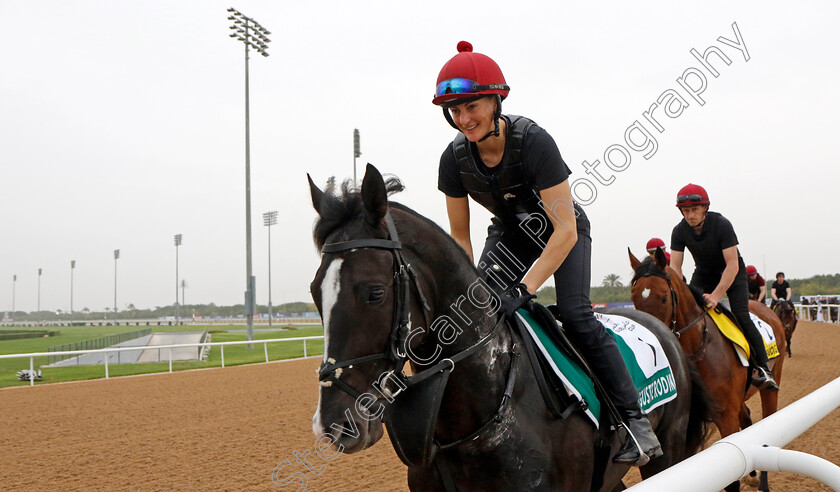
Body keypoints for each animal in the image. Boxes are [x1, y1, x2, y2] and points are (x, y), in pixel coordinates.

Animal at [632, 250, 788, 492]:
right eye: (634, 298)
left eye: (664, 298)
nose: (652, 334)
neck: (699, 347)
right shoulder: (689, 424)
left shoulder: (724, 417)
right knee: (747, 420)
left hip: (771, 382)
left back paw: (763, 482)